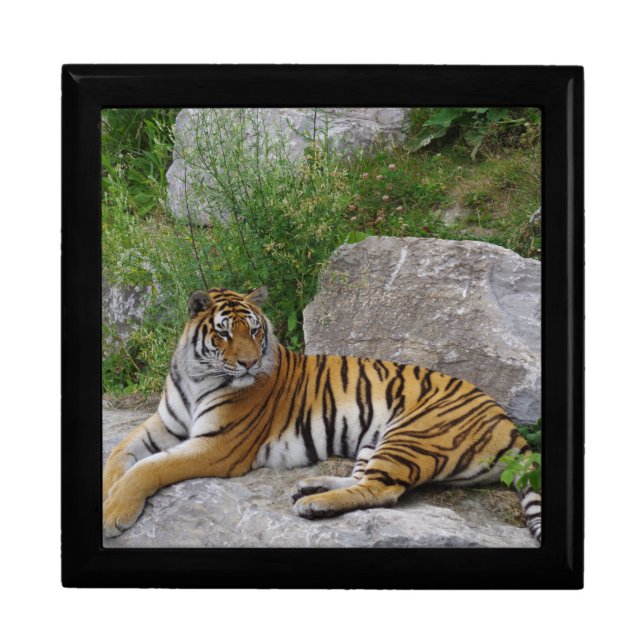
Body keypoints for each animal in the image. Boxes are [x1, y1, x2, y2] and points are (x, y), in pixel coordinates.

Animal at [103, 286, 542, 544]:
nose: (248, 363)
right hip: (374, 440)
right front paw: (108, 492)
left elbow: (149, 468)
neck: (196, 377)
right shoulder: (163, 423)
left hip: (411, 434)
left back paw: (314, 505)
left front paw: (114, 514)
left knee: (383, 490)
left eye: (255, 331)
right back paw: (311, 487)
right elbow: (119, 454)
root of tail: (508, 423)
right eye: (224, 332)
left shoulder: (217, 447)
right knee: (362, 478)